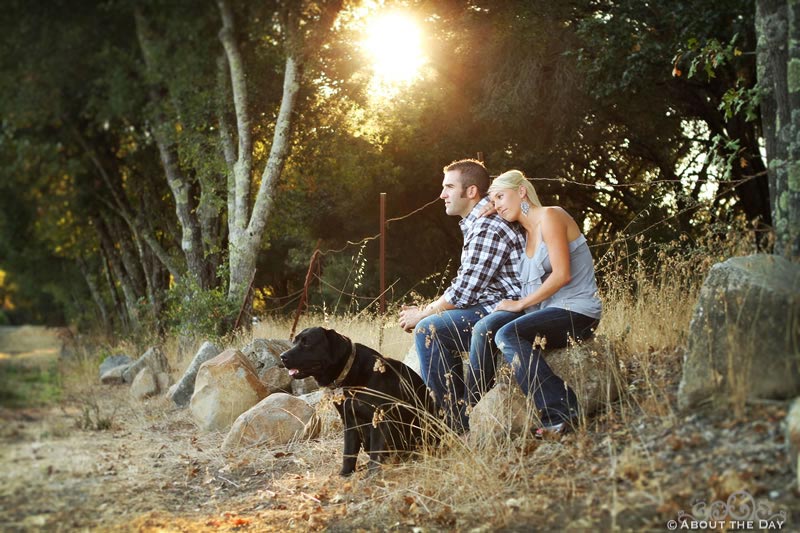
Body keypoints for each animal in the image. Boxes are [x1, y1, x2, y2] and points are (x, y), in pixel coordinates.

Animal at [278, 326, 434, 476]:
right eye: (294, 342)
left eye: (307, 342)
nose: (282, 357)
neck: (351, 374)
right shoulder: (349, 421)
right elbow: (348, 452)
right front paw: (345, 474)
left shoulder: (380, 420)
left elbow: (376, 452)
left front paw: (371, 476)